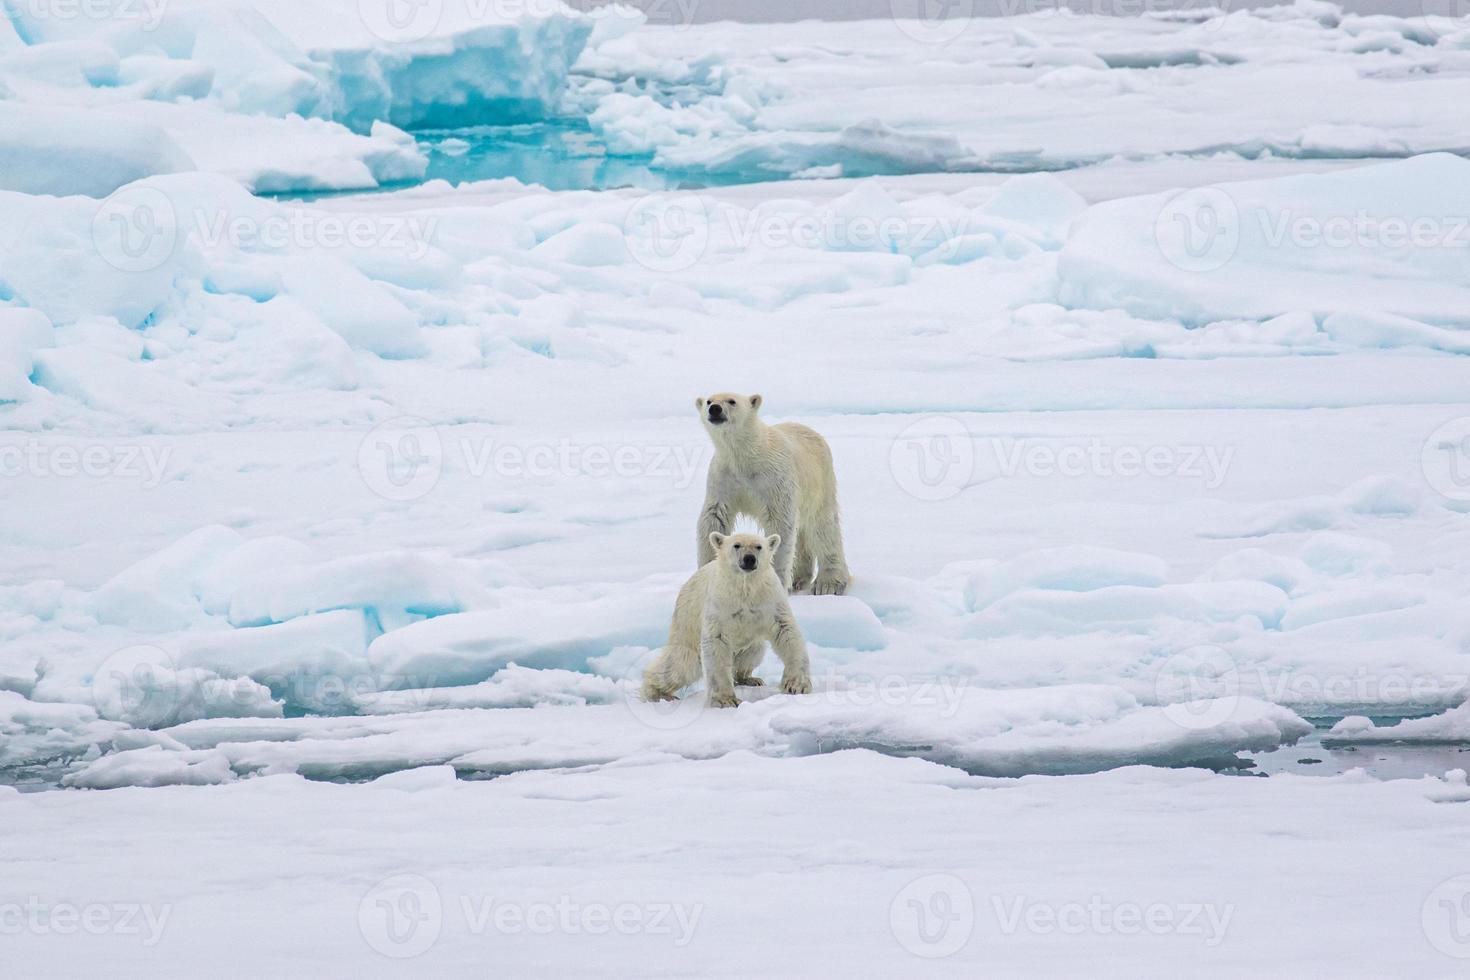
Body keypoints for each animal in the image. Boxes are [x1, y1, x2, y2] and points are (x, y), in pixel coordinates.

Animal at [696, 393, 852, 599]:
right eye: (708, 401)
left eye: (732, 401)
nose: (715, 409)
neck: (747, 454)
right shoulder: (723, 477)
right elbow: (714, 518)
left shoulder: (774, 478)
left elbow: (781, 524)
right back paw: (798, 579)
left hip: (820, 481)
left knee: (823, 526)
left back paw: (829, 583)